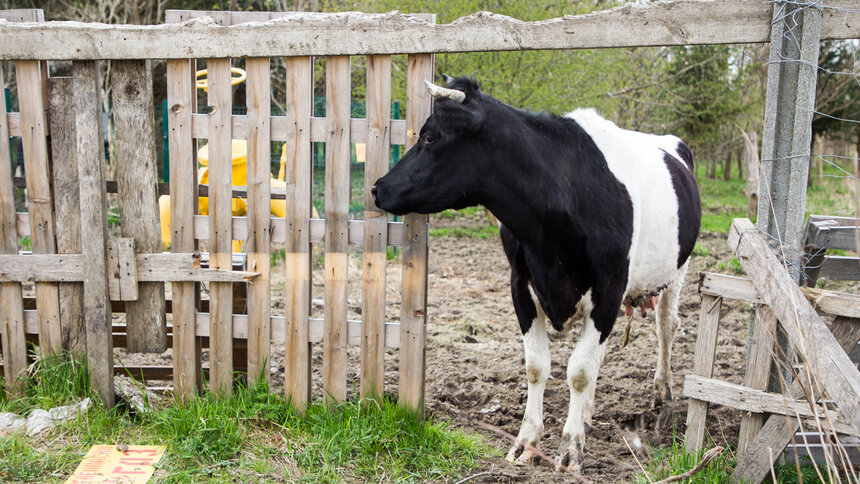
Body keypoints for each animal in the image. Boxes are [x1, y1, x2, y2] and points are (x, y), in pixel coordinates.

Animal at [372, 76, 704, 472]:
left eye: (429, 137)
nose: (378, 187)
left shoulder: (609, 289)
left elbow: (578, 370)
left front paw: (571, 449)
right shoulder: (521, 286)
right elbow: (537, 366)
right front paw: (526, 442)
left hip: (677, 271)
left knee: (665, 327)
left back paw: (662, 394)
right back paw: (587, 415)